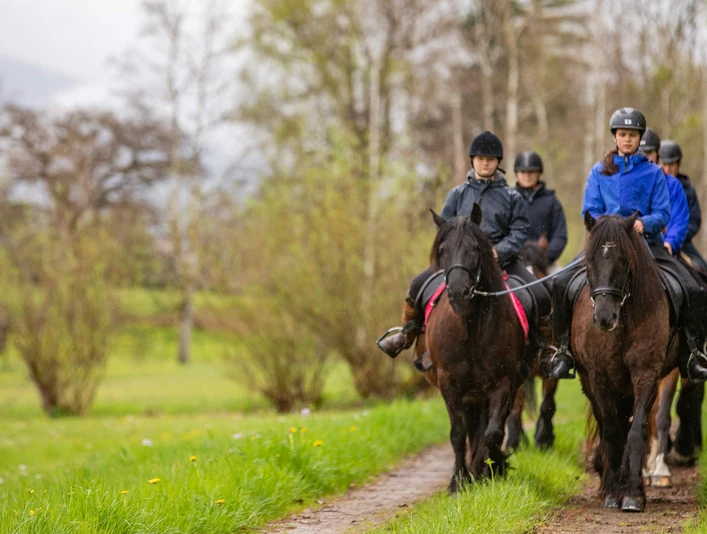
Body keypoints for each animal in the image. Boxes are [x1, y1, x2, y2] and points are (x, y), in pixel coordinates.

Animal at [422, 205, 528, 492]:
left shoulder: (503, 382)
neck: (470, 328)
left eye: (475, 248)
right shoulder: (449, 383)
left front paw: (491, 467)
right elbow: (458, 434)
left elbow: (492, 433)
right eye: (443, 249)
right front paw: (458, 482)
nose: (459, 293)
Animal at [574, 212, 678, 513]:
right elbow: (611, 430)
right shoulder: (598, 376)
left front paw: (632, 493)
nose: (604, 318)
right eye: (590, 260)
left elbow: (636, 429)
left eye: (623, 260)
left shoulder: (647, 374)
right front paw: (612, 491)